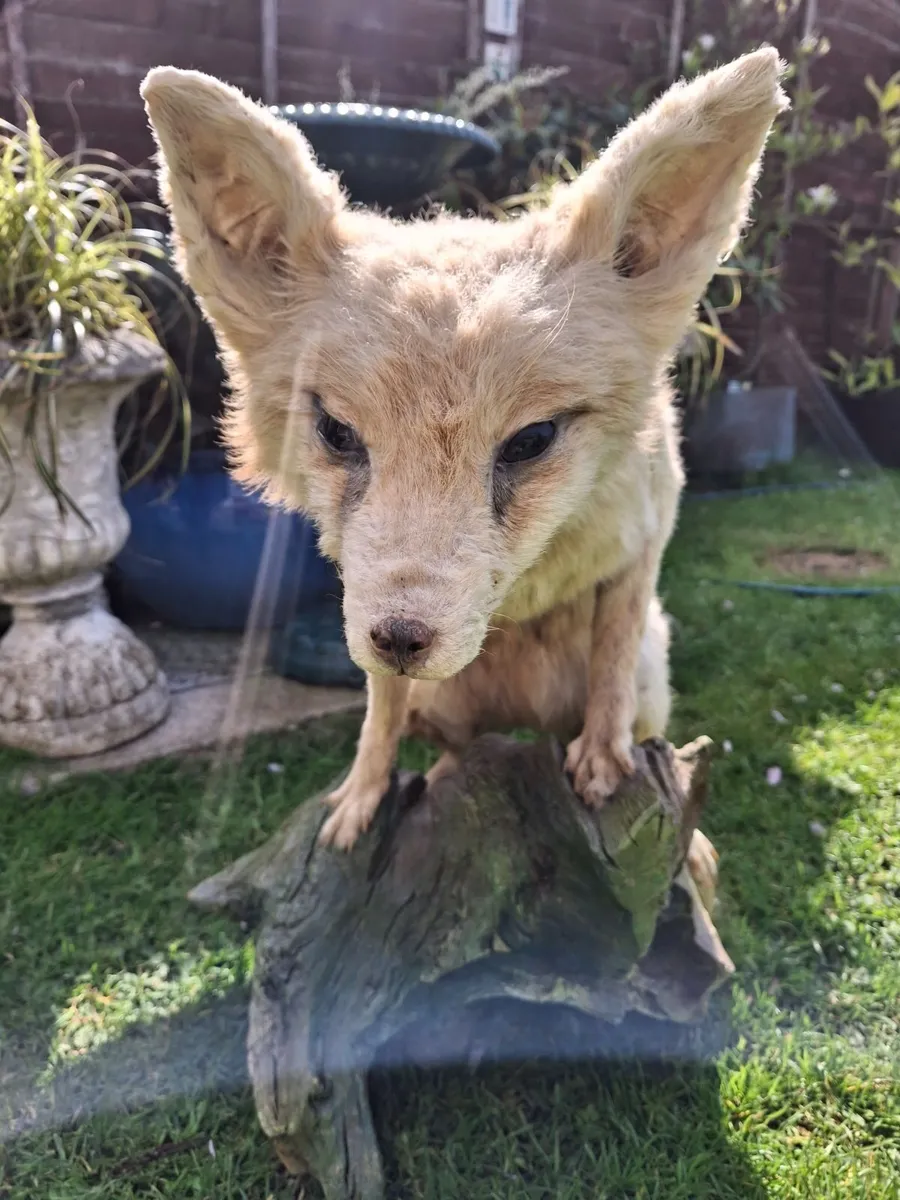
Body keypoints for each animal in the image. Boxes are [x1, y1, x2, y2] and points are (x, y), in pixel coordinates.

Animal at [141, 50, 786, 878]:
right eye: (338, 432)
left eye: (531, 440)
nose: (402, 638)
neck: (531, 582)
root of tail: (517, 717)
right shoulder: (368, 618)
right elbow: (377, 726)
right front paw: (359, 803)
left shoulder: (640, 552)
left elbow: (609, 682)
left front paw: (601, 764)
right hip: (441, 701)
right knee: (452, 754)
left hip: (654, 671)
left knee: (648, 737)